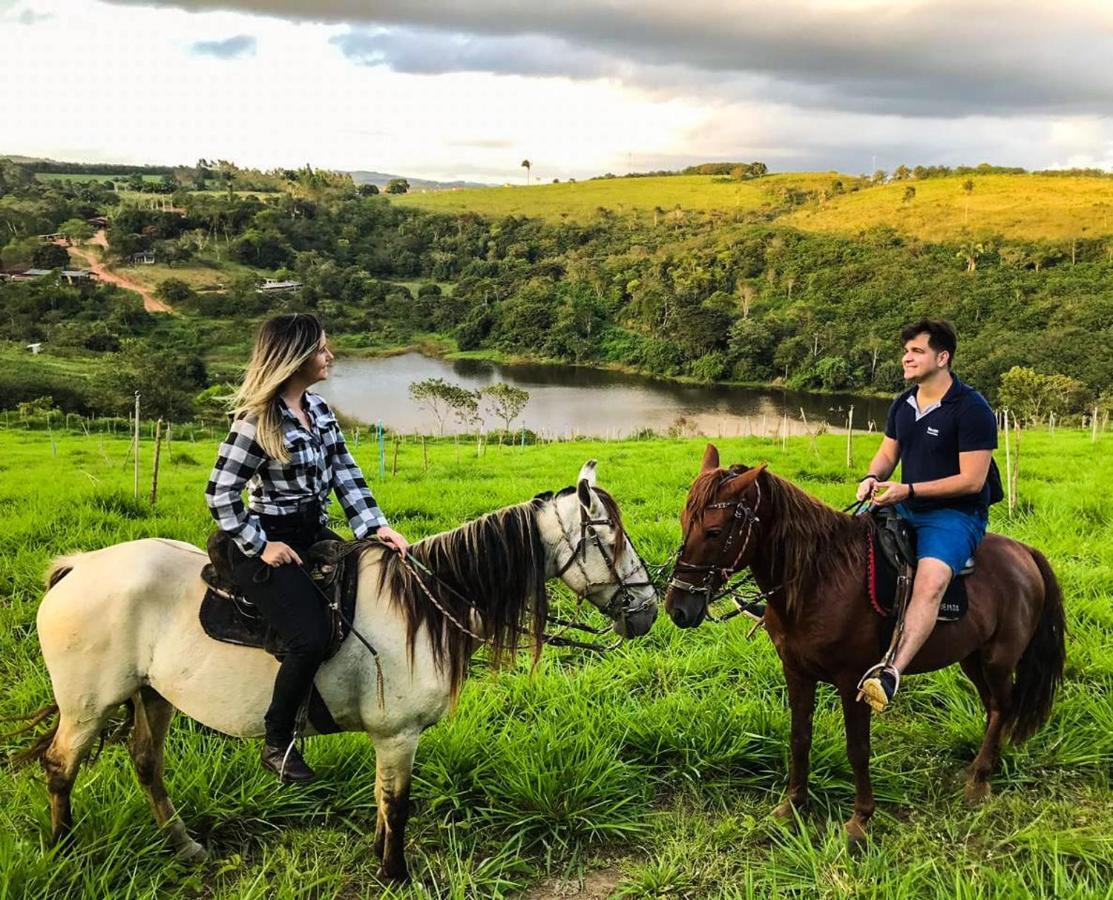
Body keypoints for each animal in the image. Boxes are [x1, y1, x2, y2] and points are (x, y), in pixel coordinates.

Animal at [15, 460, 649, 881]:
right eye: (613, 538)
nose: (646, 610)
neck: (420, 606)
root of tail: (77, 569)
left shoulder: (388, 738)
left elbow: (381, 800)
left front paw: (379, 860)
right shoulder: (399, 736)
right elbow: (397, 803)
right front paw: (395, 874)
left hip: (153, 694)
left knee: (147, 764)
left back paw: (184, 847)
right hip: (88, 706)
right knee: (60, 767)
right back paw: (64, 851)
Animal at [663, 444, 1064, 845]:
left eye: (714, 532)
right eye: (684, 522)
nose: (678, 608)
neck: (818, 578)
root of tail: (1025, 554)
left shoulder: (851, 679)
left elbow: (857, 749)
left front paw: (860, 820)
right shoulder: (796, 671)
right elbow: (799, 738)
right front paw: (792, 805)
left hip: (998, 658)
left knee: (1001, 705)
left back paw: (980, 779)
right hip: (972, 658)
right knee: (996, 706)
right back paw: (984, 766)